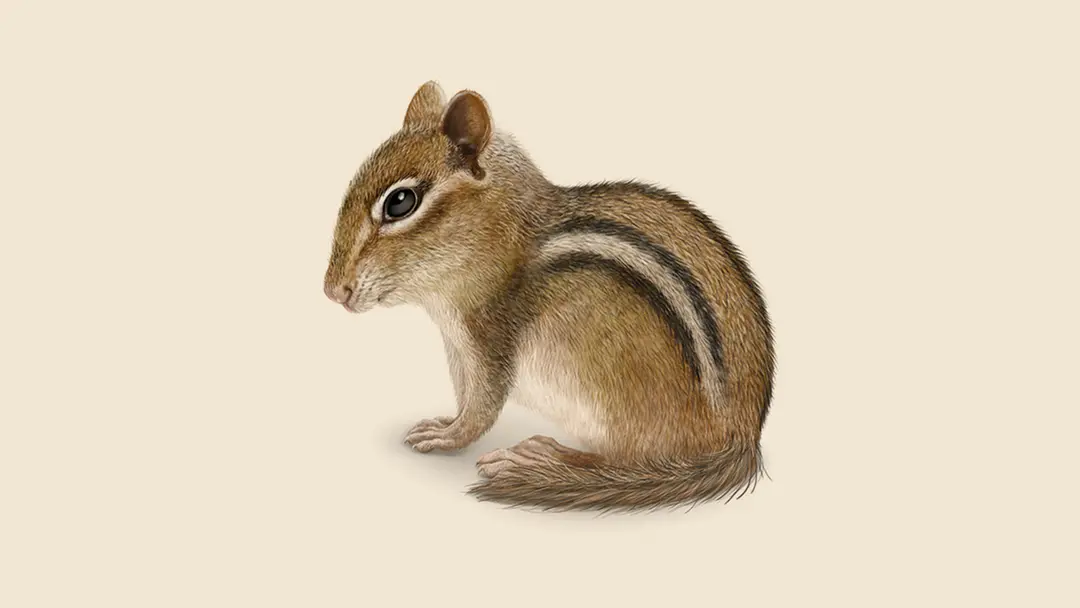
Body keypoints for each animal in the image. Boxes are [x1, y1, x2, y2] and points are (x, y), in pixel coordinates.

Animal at [323, 81, 776, 512]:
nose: (331, 290)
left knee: (628, 462)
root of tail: (740, 439)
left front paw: (449, 437)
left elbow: (482, 406)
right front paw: (445, 424)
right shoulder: (458, 347)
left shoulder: (490, 337)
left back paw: (543, 457)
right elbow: (465, 396)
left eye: (400, 202)